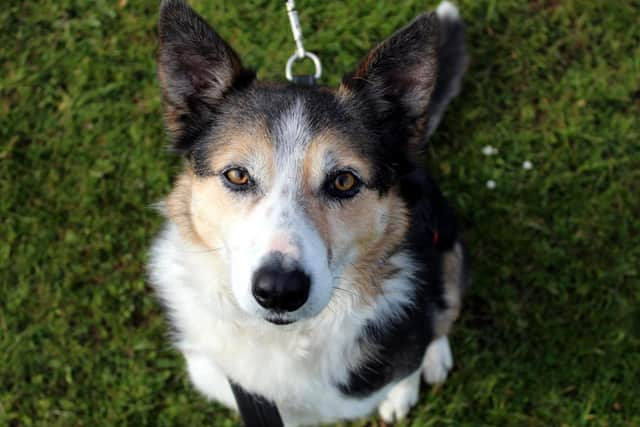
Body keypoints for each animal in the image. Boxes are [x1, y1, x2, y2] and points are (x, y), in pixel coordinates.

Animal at [149, 0, 470, 424]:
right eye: (237, 175)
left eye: (344, 181)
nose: (279, 290)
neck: (285, 337)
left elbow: (409, 362)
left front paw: (404, 389)